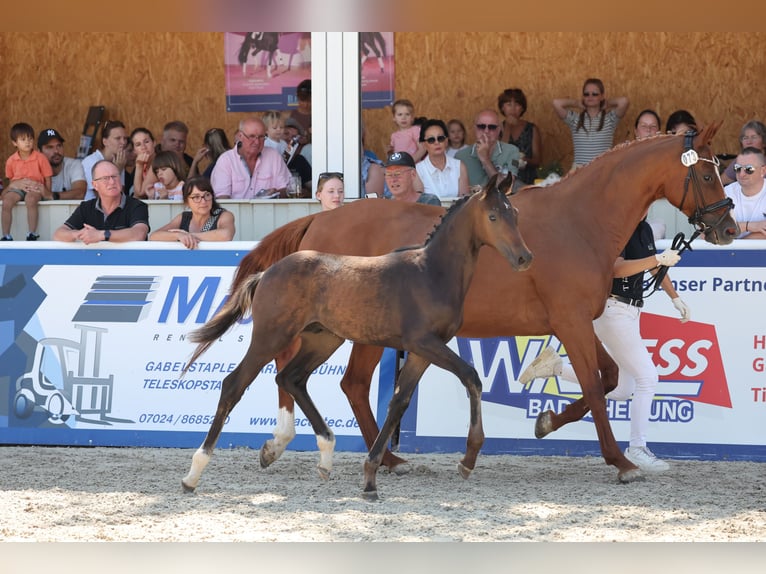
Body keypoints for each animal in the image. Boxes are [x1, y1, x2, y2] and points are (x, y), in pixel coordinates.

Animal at [180, 174, 533, 497]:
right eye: (493, 216)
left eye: (515, 213)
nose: (524, 258)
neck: (431, 273)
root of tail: (267, 273)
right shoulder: (424, 343)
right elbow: (471, 377)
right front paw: (468, 459)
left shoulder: (422, 351)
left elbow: (399, 402)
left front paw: (371, 476)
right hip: (271, 336)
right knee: (235, 384)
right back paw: (193, 474)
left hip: (322, 340)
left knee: (291, 378)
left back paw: (325, 456)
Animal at [231, 123, 738, 484]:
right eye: (707, 173)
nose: (729, 228)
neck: (579, 221)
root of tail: (319, 219)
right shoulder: (572, 320)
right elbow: (596, 387)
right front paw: (620, 461)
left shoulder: (577, 321)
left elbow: (609, 377)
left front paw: (546, 422)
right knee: (307, 371)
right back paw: (290, 442)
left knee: (346, 383)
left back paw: (386, 457)